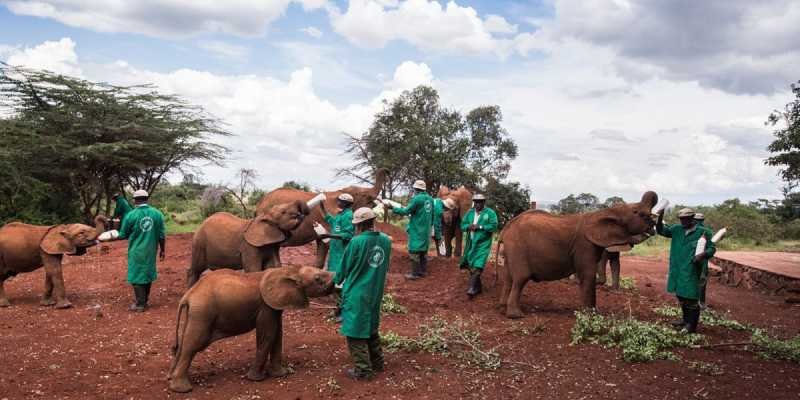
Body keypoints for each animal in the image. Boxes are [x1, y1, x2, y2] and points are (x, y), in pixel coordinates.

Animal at [168, 266, 334, 393]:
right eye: (317, 279)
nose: (334, 279)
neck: (289, 269)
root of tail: (188, 295)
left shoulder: (274, 306)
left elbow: (278, 334)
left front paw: (280, 374)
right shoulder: (265, 307)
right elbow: (268, 334)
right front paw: (256, 379)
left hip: (195, 314)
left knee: (184, 343)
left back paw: (171, 379)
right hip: (203, 312)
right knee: (193, 345)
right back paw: (182, 389)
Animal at [497, 191, 658, 318]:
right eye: (636, 212)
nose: (653, 226)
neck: (607, 211)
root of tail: (505, 229)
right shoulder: (584, 245)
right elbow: (588, 274)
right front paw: (591, 315)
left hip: (511, 250)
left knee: (508, 278)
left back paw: (502, 308)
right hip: (518, 248)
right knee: (520, 279)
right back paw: (515, 315)